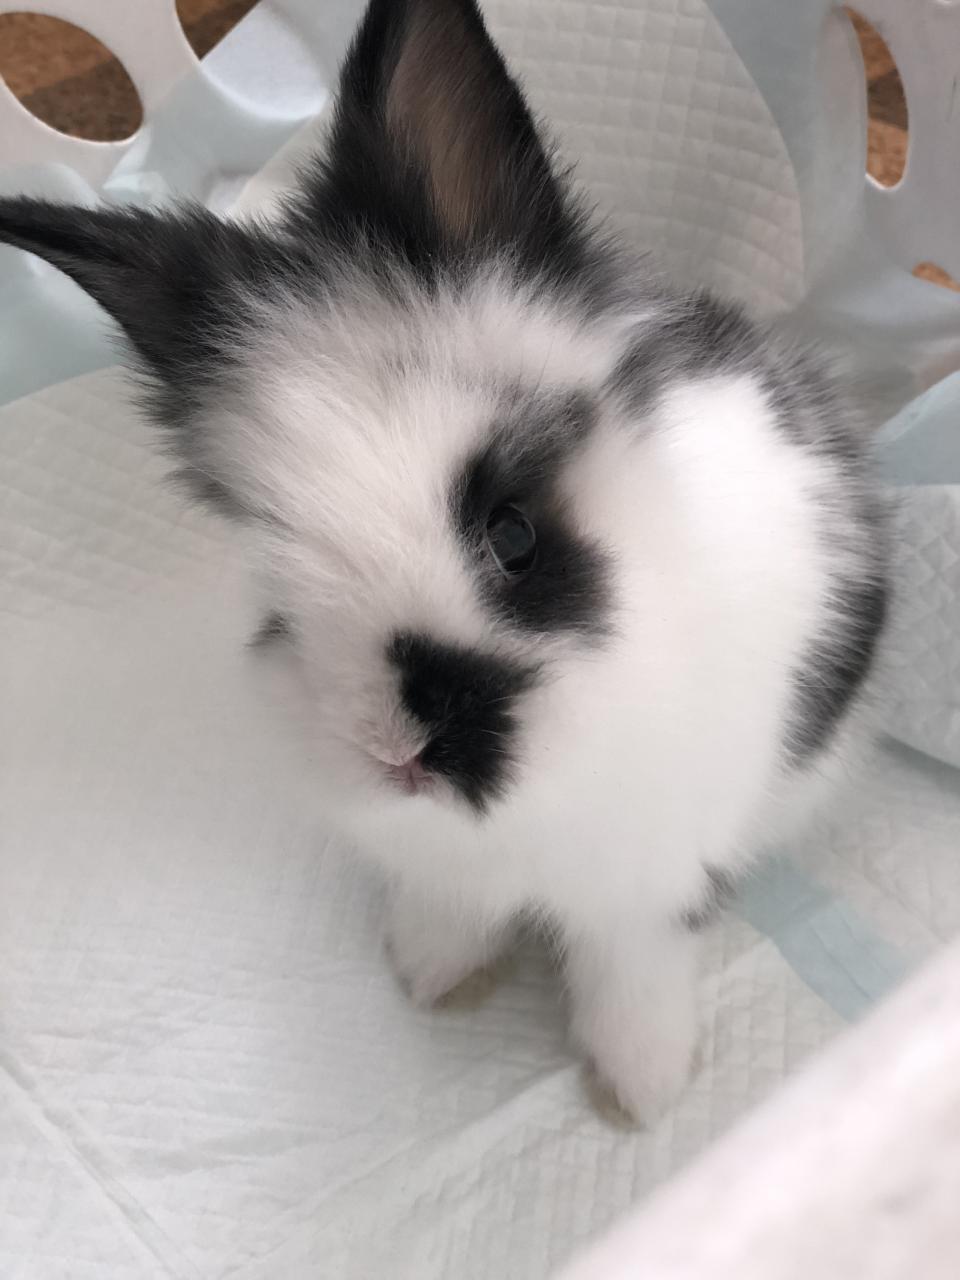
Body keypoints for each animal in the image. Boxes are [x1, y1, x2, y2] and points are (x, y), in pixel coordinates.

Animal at [0, 0, 888, 1123]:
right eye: (274, 567)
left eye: (513, 534)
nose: (394, 751)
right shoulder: (453, 863)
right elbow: (455, 908)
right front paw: (431, 974)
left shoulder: (653, 872)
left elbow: (633, 962)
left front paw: (640, 1088)